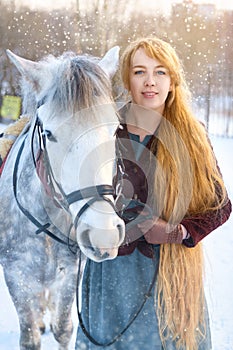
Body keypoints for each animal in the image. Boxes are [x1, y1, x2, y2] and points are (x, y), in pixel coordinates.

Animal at [0, 47, 124, 350]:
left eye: (115, 129)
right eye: (48, 133)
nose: (103, 234)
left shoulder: (70, 274)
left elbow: (64, 329)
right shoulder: (16, 276)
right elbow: (30, 336)